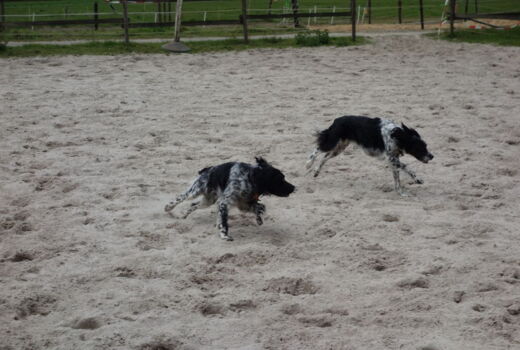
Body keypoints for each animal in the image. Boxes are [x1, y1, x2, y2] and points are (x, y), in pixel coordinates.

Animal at [165, 158, 294, 241]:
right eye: (281, 179)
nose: (294, 187)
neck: (250, 178)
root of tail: (207, 169)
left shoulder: (243, 203)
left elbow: (259, 207)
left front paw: (259, 219)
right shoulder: (225, 202)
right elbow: (224, 221)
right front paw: (224, 235)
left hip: (209, 200)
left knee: (193, 205)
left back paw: (183, 216)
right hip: (196, 190)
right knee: (181, 198)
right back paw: (168, 207)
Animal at [304, 115, 434, 196]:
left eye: (426, 145)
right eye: (420, 148)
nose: (432, 156)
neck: (397, 135)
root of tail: (337, 120)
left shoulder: (393, 160)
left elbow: (397, 179)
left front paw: (400, 193)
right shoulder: (391, 159)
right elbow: (407, 168)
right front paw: (417, 180)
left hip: (340, 147)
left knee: (325, 157)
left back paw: (316, 171)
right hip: (332, 142)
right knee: (317, 150)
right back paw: (308, 164)